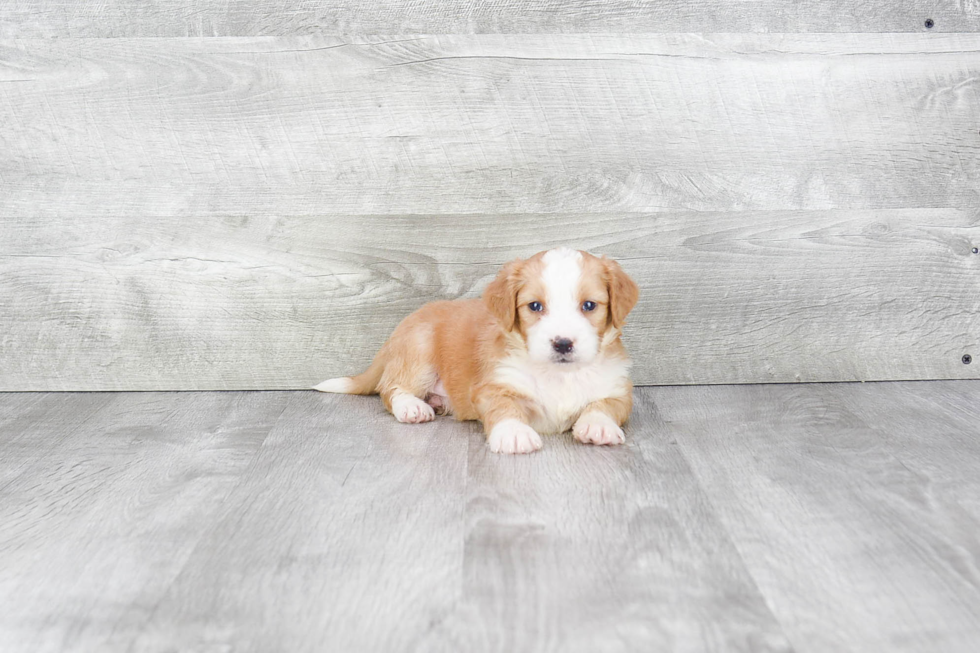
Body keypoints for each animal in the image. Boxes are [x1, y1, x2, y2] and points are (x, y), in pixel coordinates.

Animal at [312, 247, 636, 456]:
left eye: (589, 305)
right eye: (534, 306)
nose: (563, 343)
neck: (560, 375)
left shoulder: (619, 390)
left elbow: (605, 406)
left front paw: (598, 426)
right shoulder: (492, 386)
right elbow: (505, 407)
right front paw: (513, 432)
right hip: (419, 349)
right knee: (389, 388)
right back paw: (412, 407)